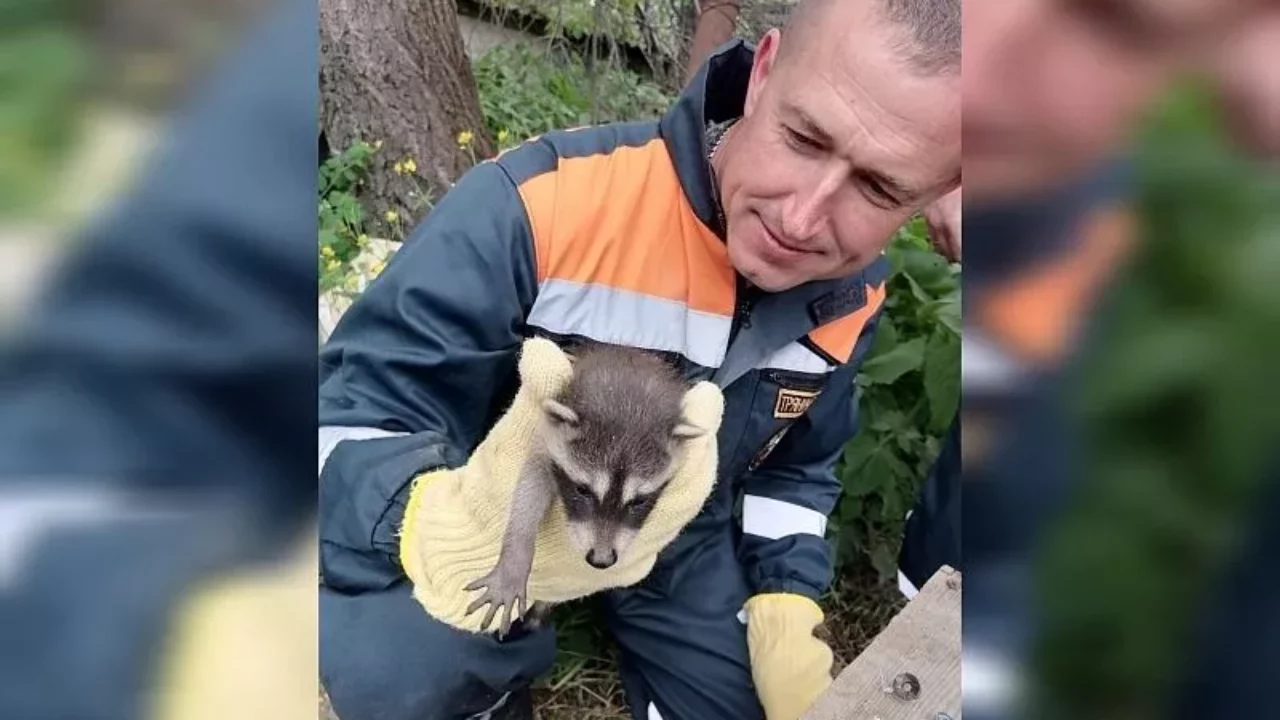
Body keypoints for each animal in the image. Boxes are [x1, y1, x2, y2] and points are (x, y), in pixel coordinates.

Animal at [465, 340, 706, 632]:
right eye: (582, 490)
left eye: (639, 501)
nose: (601, 560)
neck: (626, 394)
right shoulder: (545, 439)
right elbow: (528, 490)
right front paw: (515, 557)